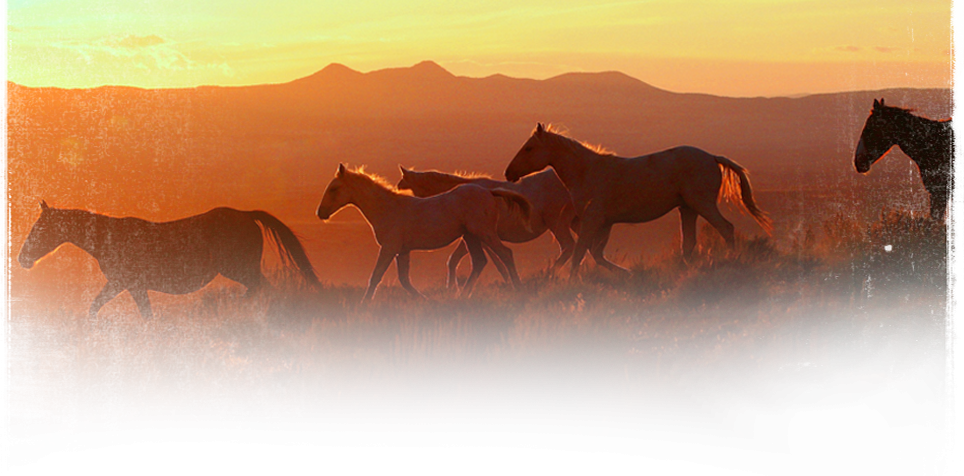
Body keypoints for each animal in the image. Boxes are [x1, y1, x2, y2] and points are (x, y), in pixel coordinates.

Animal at [18, 201, 319, 319]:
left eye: (39, 228)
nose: (22, 259)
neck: (110, 238)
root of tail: (246, 215)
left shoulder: (133, 285)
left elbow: (146, 315)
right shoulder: (117, 284)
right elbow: (94, 308)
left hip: (239, 269)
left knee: (261, 289)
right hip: (245, 269)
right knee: (265, 289)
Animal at [316, 164, 532, 304]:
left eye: (334, 188)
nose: (321, 213)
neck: (387, 208)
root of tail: (489, 192)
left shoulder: (389, 248)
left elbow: (376, 276)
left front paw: (364, 304)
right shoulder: (402, 251)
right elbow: (404, 280)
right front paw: (425, 299)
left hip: (484, 233)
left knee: (505, 254)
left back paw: (519, 290)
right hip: (471, 236)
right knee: (479, 261)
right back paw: (461, 295)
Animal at [396, 166, 577, 288]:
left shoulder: (480, 235)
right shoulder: (478, 236)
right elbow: (456, 260)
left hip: (557, 222)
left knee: (568, 246)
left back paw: (549, 276)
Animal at [504, 123, 772, 275]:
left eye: (529, 148)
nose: (509, 173)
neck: (586, 171)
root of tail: (712, 157)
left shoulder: (593, 220)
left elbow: (580, 253)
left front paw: (571, 283)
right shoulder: (605, 223)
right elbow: (596, 255)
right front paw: (627, 273)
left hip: (702, 204)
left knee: (726, 228)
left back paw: (734, 261)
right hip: (687, 209)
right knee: (689, 243)